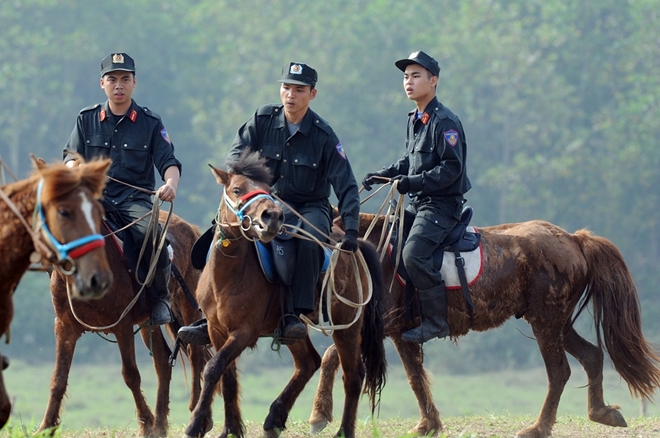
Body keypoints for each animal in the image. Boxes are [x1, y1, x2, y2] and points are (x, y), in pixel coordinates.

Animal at [37, 210, 208, 436]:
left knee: (195, 354)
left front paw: (146, 423)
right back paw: (160, 425)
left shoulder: (123, 326)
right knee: (162, 362)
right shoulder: (65, 327)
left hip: (188, 305)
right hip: (149, 321)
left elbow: (131, 375)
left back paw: (194, 411)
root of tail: (190, 227)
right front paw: (46, 426)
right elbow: (58, 379)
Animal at [182, 151, 386, 438]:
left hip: (347, 326)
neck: (228, 275)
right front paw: (230, 429)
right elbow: (226, 376)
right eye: (236, 189)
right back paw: (274, 418)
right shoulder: (216, 330)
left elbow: (213, 369)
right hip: (293, 330)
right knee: (309, 362)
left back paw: (344, 431)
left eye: (268, 191)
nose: (272, 216)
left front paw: (196, 424)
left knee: (353, 376)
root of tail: (354, 248)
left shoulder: (243, 332)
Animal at [314, 204, 660, 438]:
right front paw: (429, 424)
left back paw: (539, 427)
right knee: (592, 355)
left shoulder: (382, 326)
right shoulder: (402, 333)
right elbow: (415, 378)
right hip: (559, 323)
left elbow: (333, 356)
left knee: (559, 371)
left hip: (546, 322)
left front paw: (319, 415)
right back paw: (602, 412)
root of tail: (574, 240)